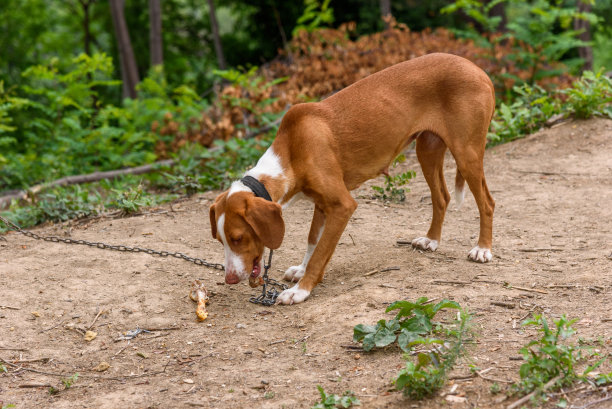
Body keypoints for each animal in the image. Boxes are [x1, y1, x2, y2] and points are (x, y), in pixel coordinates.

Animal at [208, 53, 494, 302]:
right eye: (220, 240)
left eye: (238, 238)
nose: (230, 279)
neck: (292, 151)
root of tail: (477, 69)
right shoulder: (322, 204)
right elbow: (312, 241)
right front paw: (301, 270)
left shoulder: (342, 206)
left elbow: (321, 251)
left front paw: (301, 291)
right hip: (427, 150)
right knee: (442, 197)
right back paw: (432, 240)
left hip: (466, 154)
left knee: (487, 203)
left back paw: (483, 249)